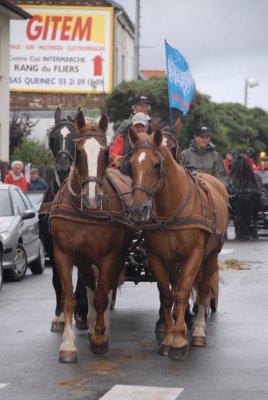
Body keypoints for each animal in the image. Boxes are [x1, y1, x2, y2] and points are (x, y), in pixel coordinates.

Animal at [49, 111, 132, 362]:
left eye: (106, 152)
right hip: (85, 259)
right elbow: (69, 296)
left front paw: (100, 337)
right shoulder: (63, 254)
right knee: (89, 285)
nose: (92, 197)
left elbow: (103, 296)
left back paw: (101, 327)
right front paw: (68, 345)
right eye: (79, 152)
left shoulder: (109, 256)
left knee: (107, 289)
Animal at [127, 130, 228, 360]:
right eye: (131, 164)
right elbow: (167, 295)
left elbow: (182, 292)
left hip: (211, 255)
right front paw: (168, 338)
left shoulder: (194, 255)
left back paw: (198, 331)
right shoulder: (158, 258)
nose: (137, 209)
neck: (171, 210)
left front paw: (180, 341)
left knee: (204, 288)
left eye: (157, 165)